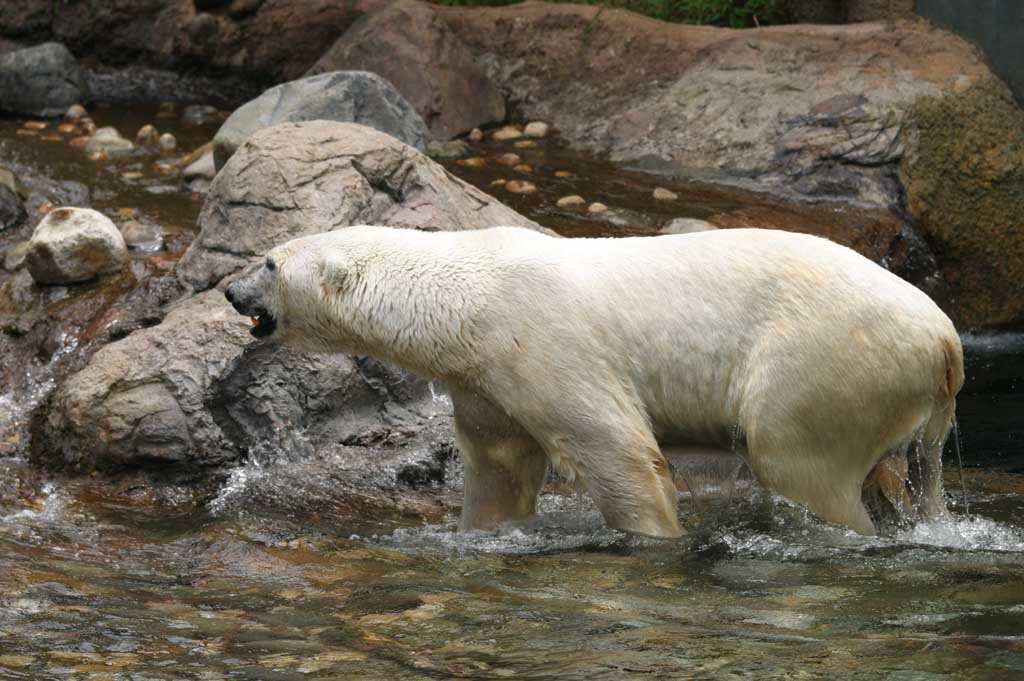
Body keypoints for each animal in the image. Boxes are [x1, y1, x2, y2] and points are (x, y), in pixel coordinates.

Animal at [222, 225, 958, 540]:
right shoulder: (485, 379)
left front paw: (655, 539)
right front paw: (482, 532)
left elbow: (619, 450)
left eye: (269, 261)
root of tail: (947, 340)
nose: (230, 291)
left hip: (822, 360)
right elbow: (499, 465)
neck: (470, 292)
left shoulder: (547, 343)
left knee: (794, 456)